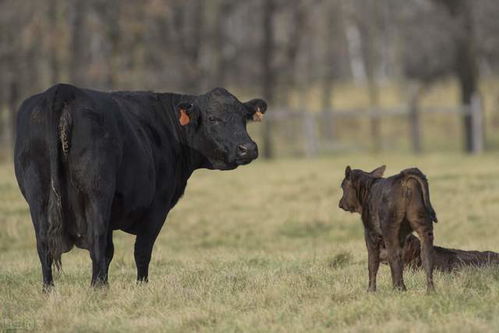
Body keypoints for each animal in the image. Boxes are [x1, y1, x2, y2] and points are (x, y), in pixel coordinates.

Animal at [13, 83, 268, 288]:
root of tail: (63, 90)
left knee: (44, 243)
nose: (248, 148)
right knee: (96, 240)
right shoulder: (157, 208)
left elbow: (111, 251)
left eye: (244, 117)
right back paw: (98, 287)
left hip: (37, 195)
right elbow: (141, 251)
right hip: (97, 193)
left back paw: (49, 289)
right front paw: (142, 286)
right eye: (213, 118)